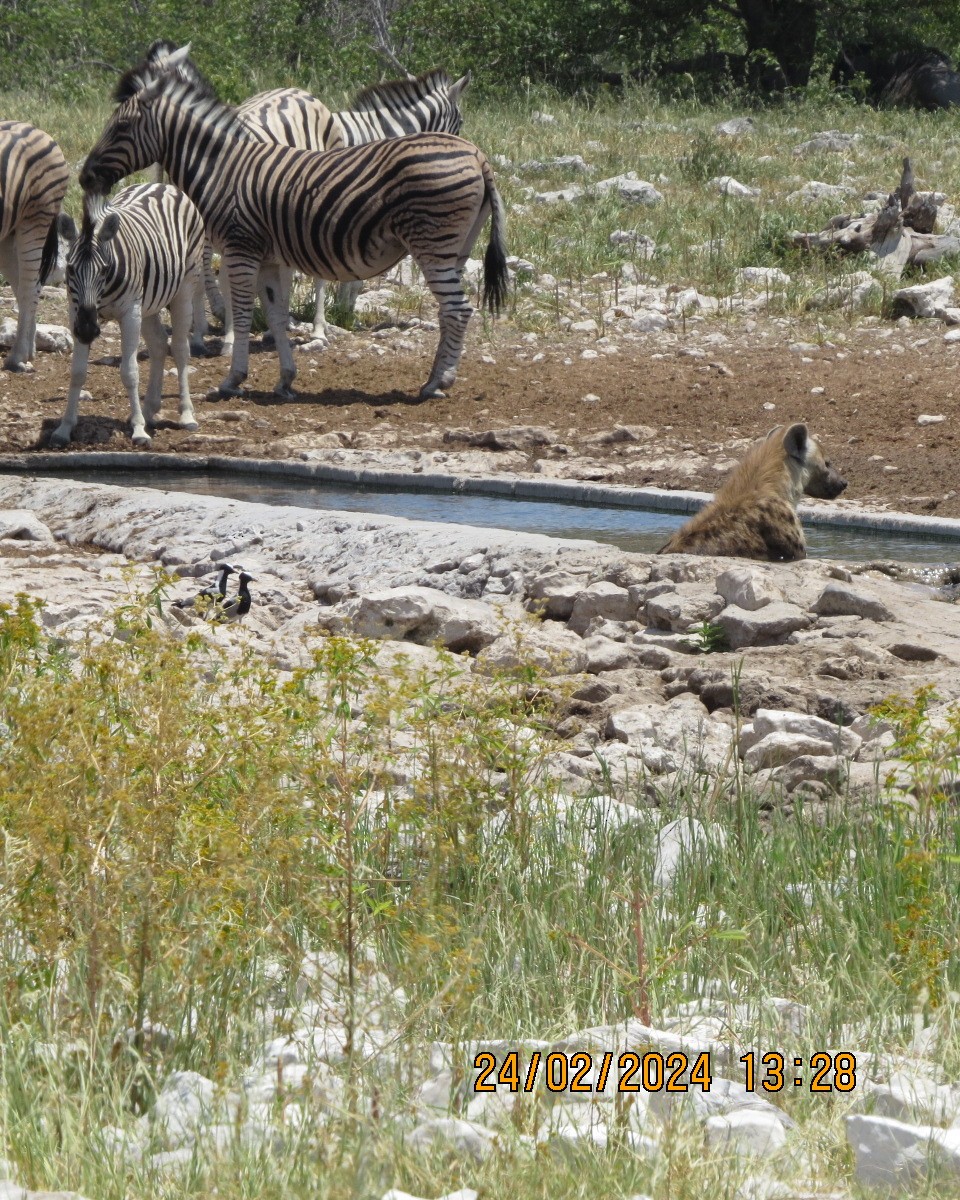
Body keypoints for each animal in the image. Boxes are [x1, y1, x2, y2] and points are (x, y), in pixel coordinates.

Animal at [0, 120, 69, 369]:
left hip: (35, 219)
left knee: (29, 287)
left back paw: (19, 356)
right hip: (8, 234)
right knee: (27, 287)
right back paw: (29, 349)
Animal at [51, 184, 204, 448]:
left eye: (104, 269)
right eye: (69, 269)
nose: (88, 331)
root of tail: (163, 186)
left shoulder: (130, 312)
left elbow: (130, 372)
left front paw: (139, 430)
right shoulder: (75, 312)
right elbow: (77, 373)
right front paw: (65, 427)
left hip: (185, 286)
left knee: (180, 348)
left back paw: (186, 414)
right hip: (148, 304)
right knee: (159, 344)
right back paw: (150, 410)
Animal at [82, 63, 508, 403]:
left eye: (121, 126)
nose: (85, 177)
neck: (222, 167)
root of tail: (476, 155)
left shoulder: (241, 249)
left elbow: (244, 313)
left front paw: (233, 378)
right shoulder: (268, 257)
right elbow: (275, 315)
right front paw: (285, 378)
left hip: (433, 245)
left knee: (457, 309)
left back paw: (437, 382)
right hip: (456, 249)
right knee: (450, 310)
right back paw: (436, 378)